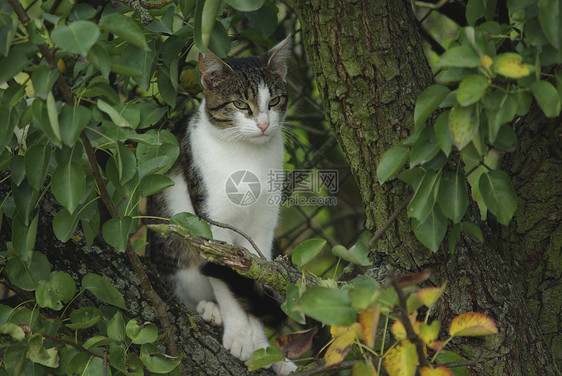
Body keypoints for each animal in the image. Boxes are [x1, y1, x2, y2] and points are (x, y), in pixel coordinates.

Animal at [148, 36, 298, 376]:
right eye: (241, 105)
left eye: (274, 101)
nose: (264, 124)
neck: (247, 157)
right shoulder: (212, 221)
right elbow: (224, 278)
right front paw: (240, 336)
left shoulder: (263, 228)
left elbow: (256, 277)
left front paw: (262, 347)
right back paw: (210, 310)